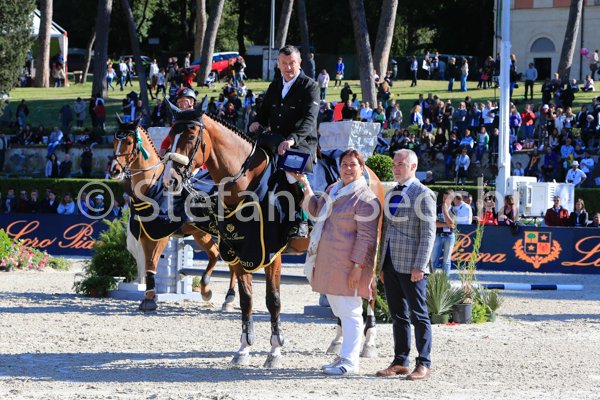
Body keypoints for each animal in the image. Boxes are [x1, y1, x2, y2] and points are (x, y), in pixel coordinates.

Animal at [109, 117, 237, 312]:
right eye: (115, 142)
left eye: (129, 142)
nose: (115, 170)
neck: (152, 187)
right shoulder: (146, 235)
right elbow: (148, 265)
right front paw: (148, 296)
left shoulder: (160, 234)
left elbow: (152, 262)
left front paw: (150, 300)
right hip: (200, 232)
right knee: (215, 254)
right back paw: (206, 290)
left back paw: (229, 299)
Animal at [163, 106, 384, 369]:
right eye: (169, 135)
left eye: (189, 137)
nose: (170, 180)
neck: (246, 185)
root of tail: (370, 172)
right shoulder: (238, 252)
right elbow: (247, 300)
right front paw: (243, 349)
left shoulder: (271, 253)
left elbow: (273, 300)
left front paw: (275, 350)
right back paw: (338, 340)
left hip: (369, 250)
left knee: (370, 289)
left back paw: (368, 343)